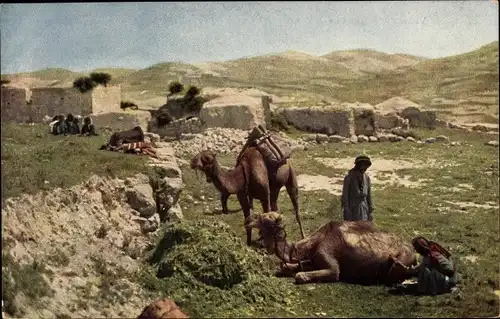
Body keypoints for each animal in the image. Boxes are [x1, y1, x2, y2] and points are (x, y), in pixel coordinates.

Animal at [244, 212, 416, 284]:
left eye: (265, 218)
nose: (247, 219)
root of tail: (412, 251)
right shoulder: (312, 259)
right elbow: (287, 267)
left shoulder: (327, 256)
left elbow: (303, 275)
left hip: (403, 257)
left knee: (396, 268)